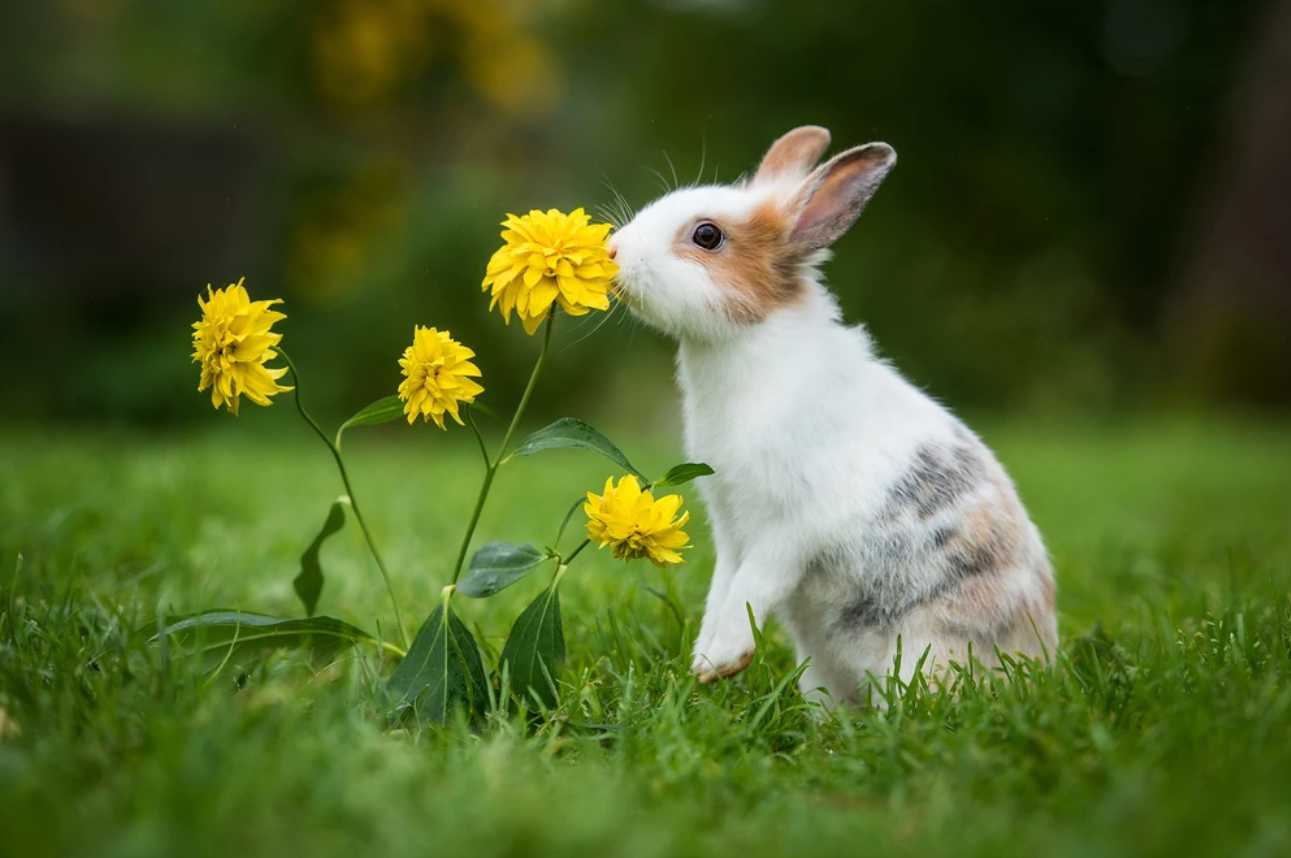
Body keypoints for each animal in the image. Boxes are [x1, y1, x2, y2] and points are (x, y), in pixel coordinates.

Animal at [604, 127, 1058, 701]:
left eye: (707, 235)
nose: (612, 251)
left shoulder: (790, 526)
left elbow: (752, 585)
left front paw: (719, 660)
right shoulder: (730, 527)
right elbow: (722, 588)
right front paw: (704, 661)